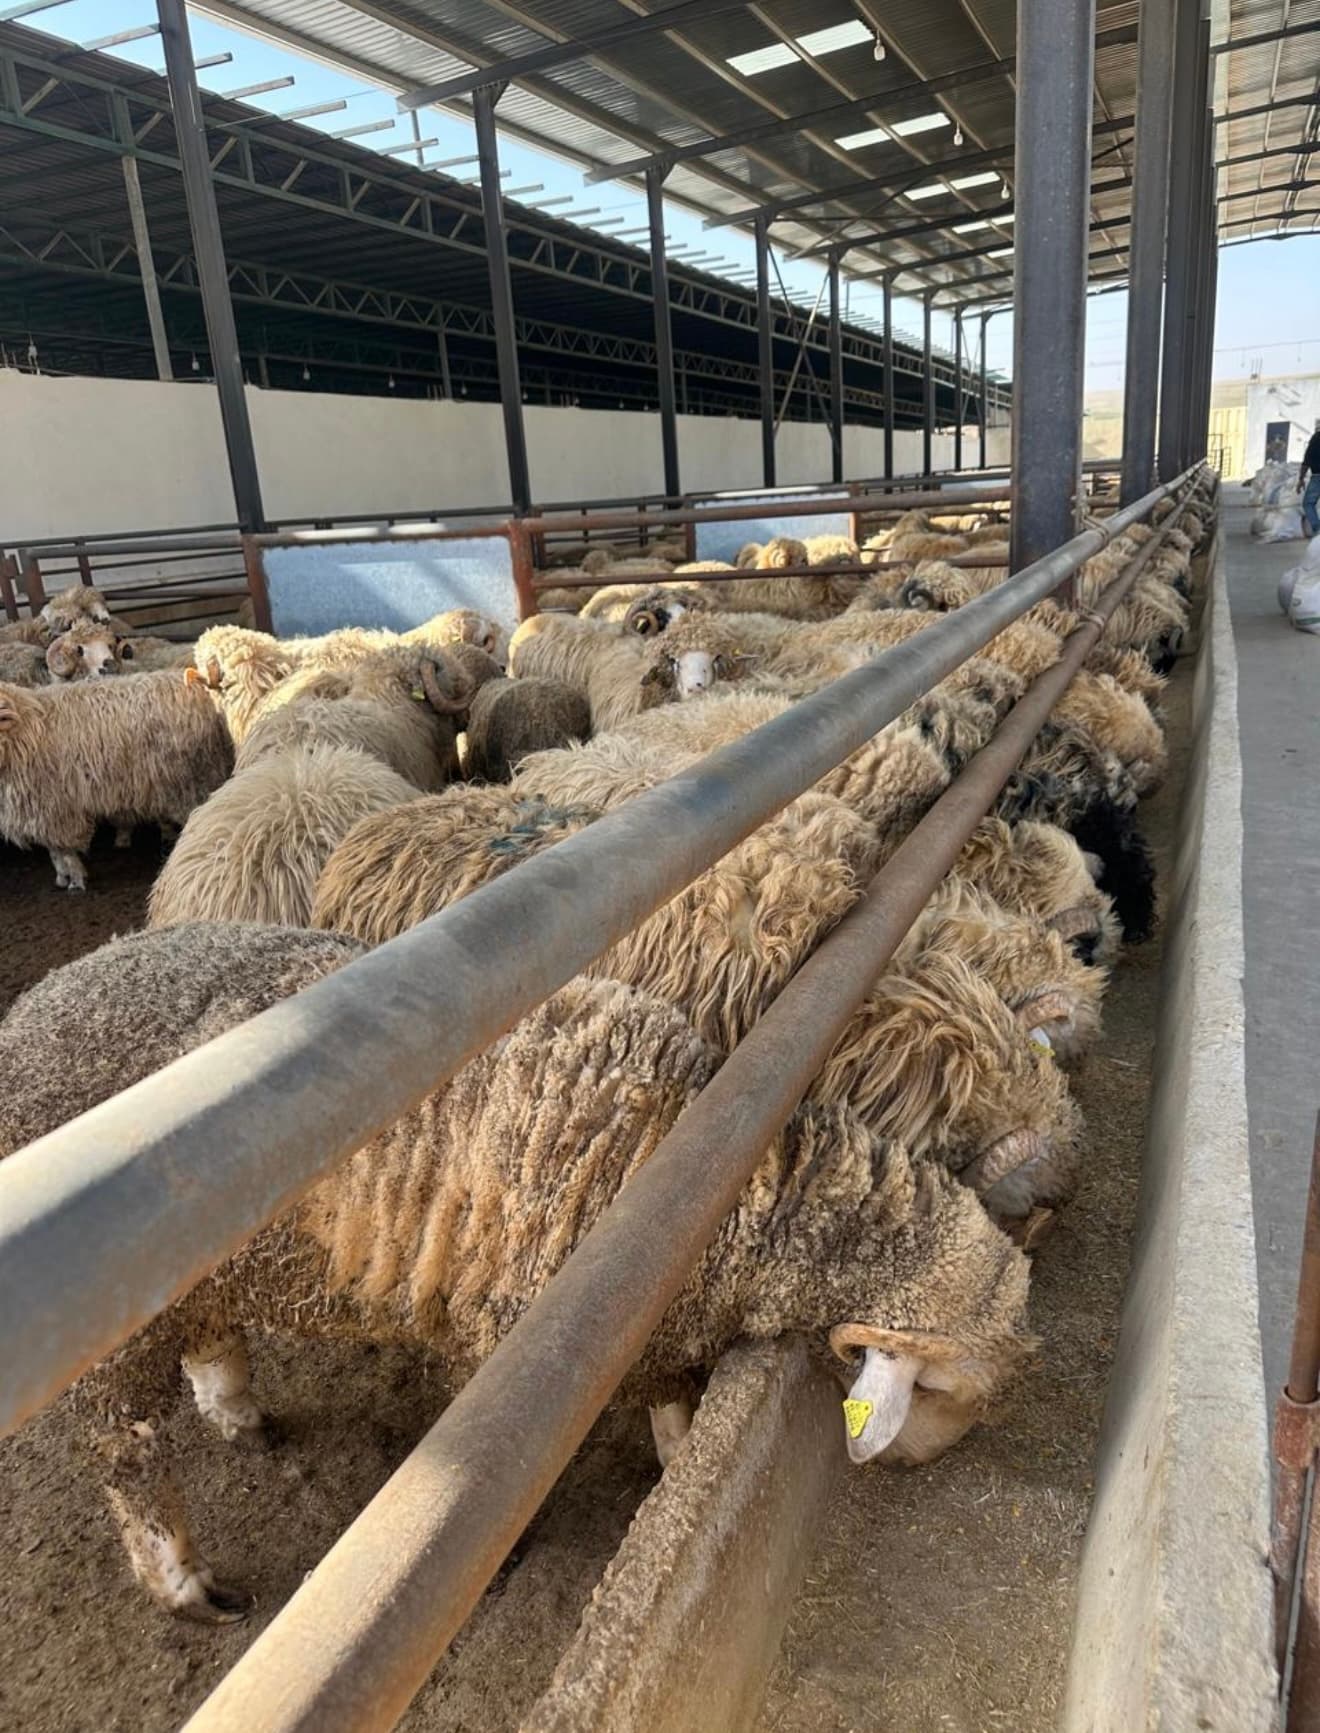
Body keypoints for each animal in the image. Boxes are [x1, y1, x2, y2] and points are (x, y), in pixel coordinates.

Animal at [0, 671, 233, 889]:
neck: (25, 732)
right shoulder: (41, 811)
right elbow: (54, 851)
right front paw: (62, 877)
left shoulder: (57, 808)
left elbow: (65, 851)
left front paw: (76, 880)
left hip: (191, 781)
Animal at [0, 923, 1033, 1615]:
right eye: (941, 1391)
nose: (919, 1467)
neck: (717, 1171)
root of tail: (32, 1008)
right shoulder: (524, 1337)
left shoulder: (654, 1323)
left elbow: (670, 1405)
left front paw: (674, 1468)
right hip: (103, 1340)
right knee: (124, 1445)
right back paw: (183, 1579)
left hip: (189, 1276)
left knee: (205, 1332)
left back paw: (237, 1407)